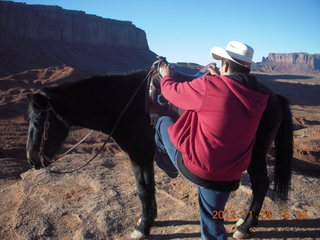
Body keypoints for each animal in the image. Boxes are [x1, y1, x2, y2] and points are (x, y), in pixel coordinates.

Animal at [26, 59, 294, 238]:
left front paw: (143, 228)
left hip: (256, 153)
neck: (122, 102)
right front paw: (149, 219)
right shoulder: (142, 156)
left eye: (38, 122)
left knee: (261, 184)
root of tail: (274, 96)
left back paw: (246, 226)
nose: (32, 160)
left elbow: (144, 190)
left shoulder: (140, 154)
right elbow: (148, 188)